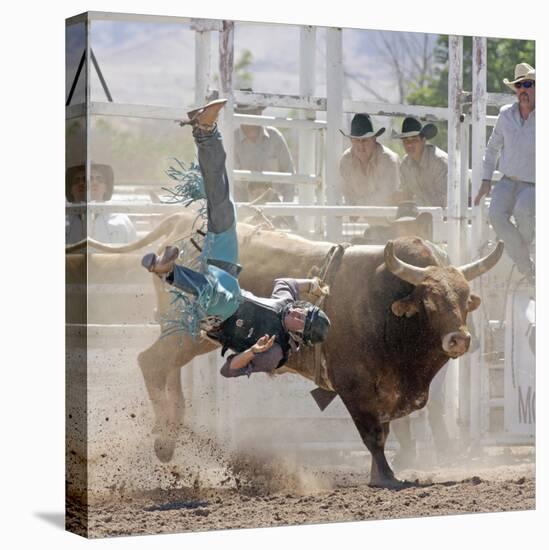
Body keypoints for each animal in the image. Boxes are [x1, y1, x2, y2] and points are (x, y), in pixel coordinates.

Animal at [77, 213, 500, 490]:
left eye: (465, 299)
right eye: (429, 300)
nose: (459, 339)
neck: (387, 309)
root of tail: (180, 223)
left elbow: (388, 428)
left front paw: (386, 473)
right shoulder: (354, 387)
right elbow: (373, 436)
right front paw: (384, 477)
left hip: (189, 336)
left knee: (167, 368)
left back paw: (171, 428)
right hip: (187, 332)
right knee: (149, 362)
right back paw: (164, 442)